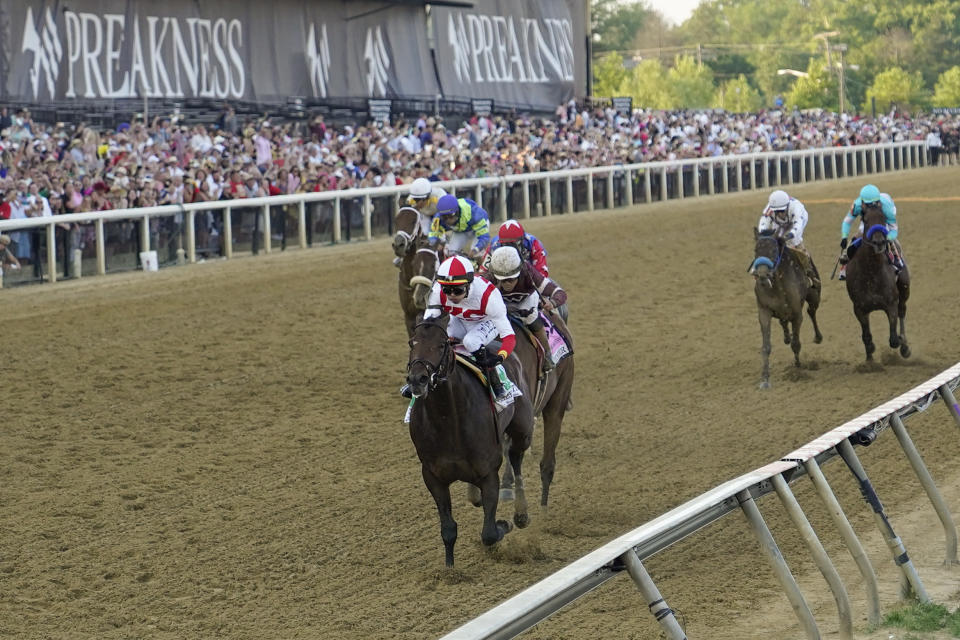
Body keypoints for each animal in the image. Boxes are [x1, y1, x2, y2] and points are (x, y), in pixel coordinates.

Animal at [404, 314, 536, 564]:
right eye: (411, 343)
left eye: (442, 344)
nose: (418, 379)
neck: (447, 419)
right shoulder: (433, 476)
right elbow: (448, 530)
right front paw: (450, 569)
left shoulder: (488, 472)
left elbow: (490, 533)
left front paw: (504, 523)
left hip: (522, 430)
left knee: (516, 460)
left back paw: (521, 513)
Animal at [752, 230, 820, 390]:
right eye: (756, 250)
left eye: (773, 250)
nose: (762, 276)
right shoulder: (763, 312)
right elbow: (766, 347)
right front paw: (765, 379)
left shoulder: (797, 315)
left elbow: (796, 344)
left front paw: (798, 368)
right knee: (783, 321)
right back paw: (786, 337)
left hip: (814, 296)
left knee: (812, 312)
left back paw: (818, 337)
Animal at [844, 201, 912, 360]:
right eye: (866, 219)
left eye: (883, 218)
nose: (879, 242)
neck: (871, 273)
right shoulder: (859, 308)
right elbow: (866, 337)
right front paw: (870, 359)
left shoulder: (891, 304)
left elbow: (893, 339)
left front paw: (900, 341)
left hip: (904, 289)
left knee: (902, 311)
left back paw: (905, 346)